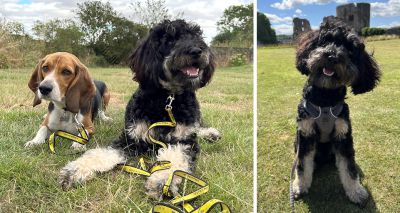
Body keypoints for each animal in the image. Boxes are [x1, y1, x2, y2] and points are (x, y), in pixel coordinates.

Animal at [57, 20, 220, 198]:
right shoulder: (129, 139)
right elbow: (100, 153)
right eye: (170, 40)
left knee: (198, 127)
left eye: (196, 36)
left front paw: (162, 181)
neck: (166, 99)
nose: (197, 50)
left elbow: (174, 158)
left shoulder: (184, 141)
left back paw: (211, 133)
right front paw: (74, 171)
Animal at [292, 15, 380, 206]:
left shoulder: (343, 135)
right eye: (325, 41)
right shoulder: (306, 134)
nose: (332, 56)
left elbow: (349, 168)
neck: (325, 98)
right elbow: (303, 164)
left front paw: (356, 192)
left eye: (349, 49)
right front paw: (299, 186)